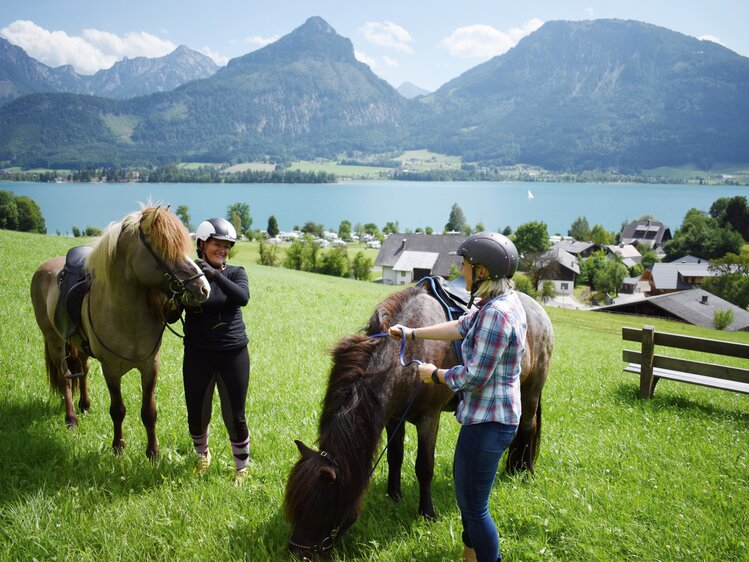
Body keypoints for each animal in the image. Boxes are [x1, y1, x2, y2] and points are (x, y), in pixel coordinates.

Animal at [30, 203, 209, 458]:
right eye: (163, 248)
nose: (204, 288)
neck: (126, 316)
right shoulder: (111, 370)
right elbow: (118, 409)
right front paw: (118, 447)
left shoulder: (150, 366)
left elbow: (149, 411)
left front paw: (152, 453)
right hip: (54, 341)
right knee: (65, 378)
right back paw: (71, 418)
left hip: (78, 345)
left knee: (83, 369)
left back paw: (85, 405)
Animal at [284, 282, 552, 552]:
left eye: (322, 508)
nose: (296, 552)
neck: (406, 359)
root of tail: (538, 309)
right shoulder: (393, 418)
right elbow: (395, 457)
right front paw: (393, 495)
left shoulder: (429, 419)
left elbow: (424, 466)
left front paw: (427, 512)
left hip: (531, 390)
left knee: (528, 428)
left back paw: (527, 472)